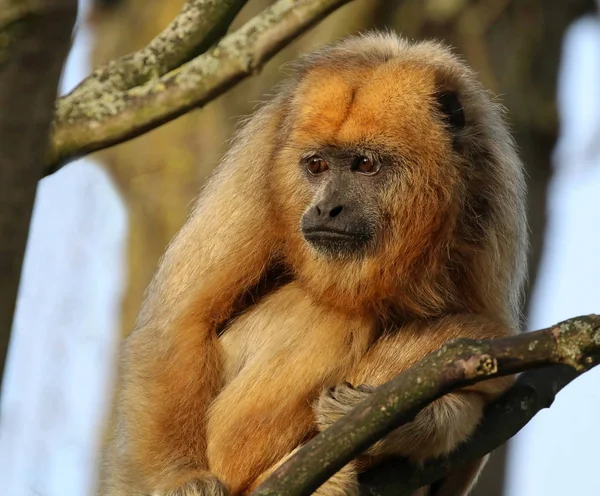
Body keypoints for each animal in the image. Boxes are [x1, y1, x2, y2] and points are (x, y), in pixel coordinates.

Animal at [102, 32, 524, 496]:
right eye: (317, 165)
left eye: (365, 164)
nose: (326, 208)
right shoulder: (261, 155)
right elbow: (178, 324)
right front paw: (181, 476)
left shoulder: (487, 195)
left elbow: (482, 368)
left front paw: (404, 420)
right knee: (336, 315)